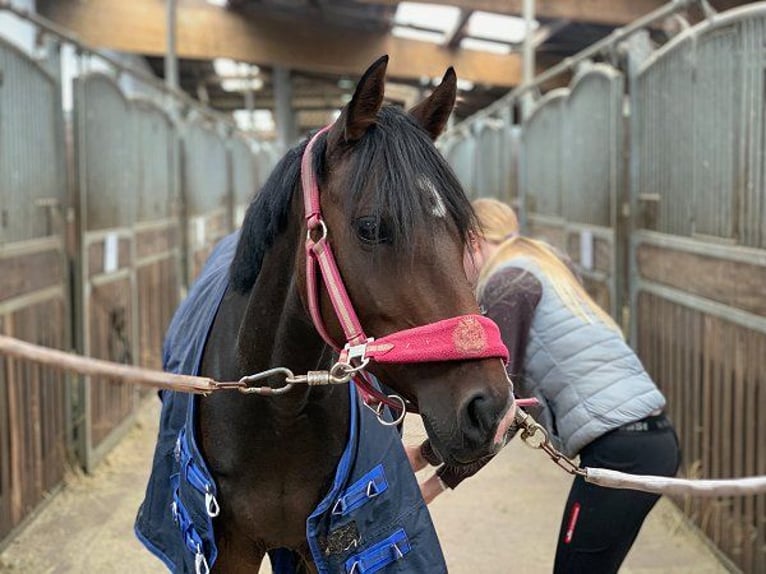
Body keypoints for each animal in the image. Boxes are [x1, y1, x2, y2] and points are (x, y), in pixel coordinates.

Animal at [140, 55, 516, 574]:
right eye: (371, 227)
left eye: (461, 230)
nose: (491, 409)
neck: (275, 408)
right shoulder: (226, 551)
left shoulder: (319, 547)